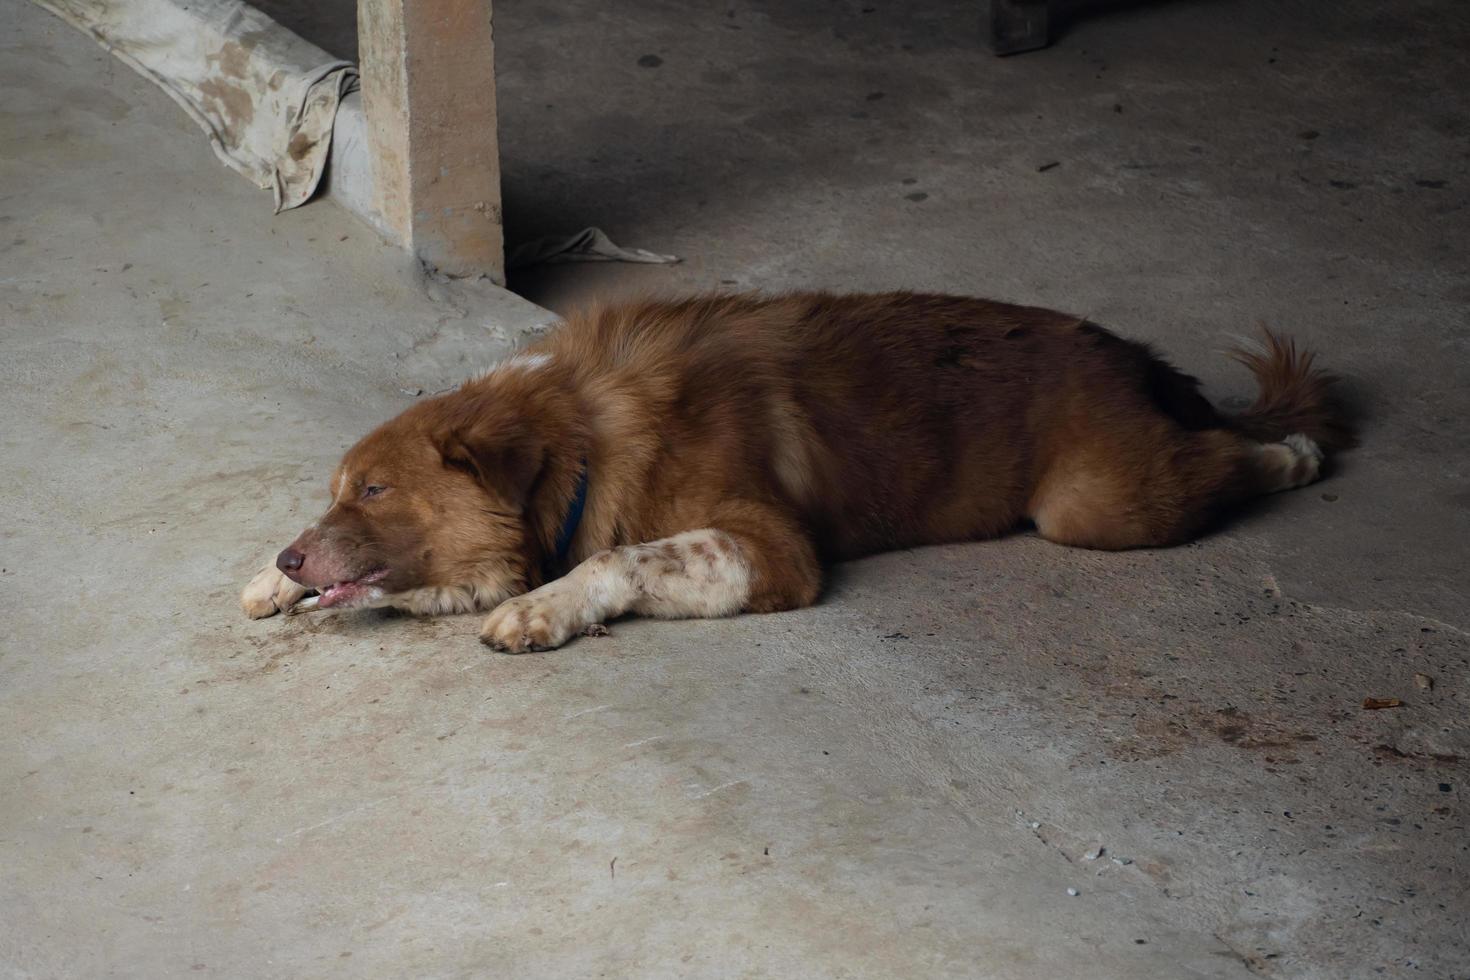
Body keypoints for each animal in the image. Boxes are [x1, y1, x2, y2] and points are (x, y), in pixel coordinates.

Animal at [241, 295, 1352, 655]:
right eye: (339, 488)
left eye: (376, 490)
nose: (295, 555)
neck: (583, 437)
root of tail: (1131, 355)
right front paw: (266, 575)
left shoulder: (768, 547)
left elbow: (622, 560)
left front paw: (546, 608)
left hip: (1096, 505)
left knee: (1229, 454)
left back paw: (1293, 454)